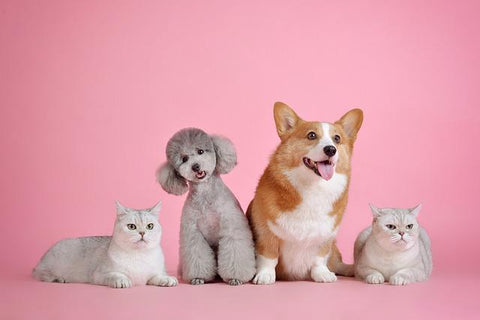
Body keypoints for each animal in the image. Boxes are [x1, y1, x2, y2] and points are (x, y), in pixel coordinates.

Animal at [32, 200, 177, 288]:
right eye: (131, 227)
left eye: (150, 226)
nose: (142, 233)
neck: (139, 256)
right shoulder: (100, 274)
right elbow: (115, 275)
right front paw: (122, 280)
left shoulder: (152, 274)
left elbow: (157, 276)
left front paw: (167, 279)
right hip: (50, 265)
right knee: (42, 274)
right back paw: (58, 279)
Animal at [248, 102, 364, 284]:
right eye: (311, 135)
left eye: (337, 138)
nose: (331, 149)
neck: (313, 187)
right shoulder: (266, 232)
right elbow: (269, 256)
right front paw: (265, 275)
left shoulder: (326, 236)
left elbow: (320, 258)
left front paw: (322, 274)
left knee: (337, 263)